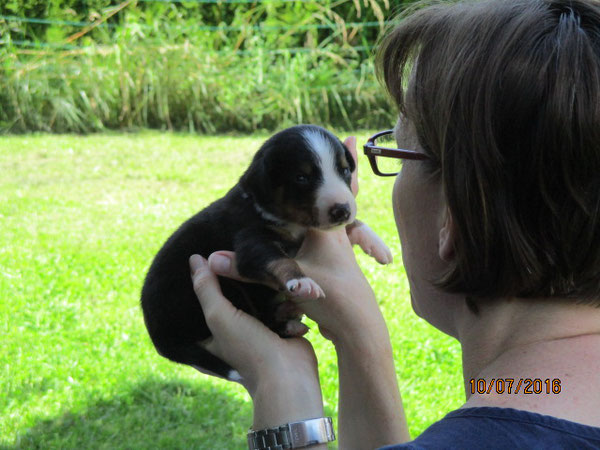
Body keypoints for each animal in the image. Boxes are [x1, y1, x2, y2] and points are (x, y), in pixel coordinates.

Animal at [141, 125, 394, 382]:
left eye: (344, 170)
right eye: (301, 178)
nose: (342, 210)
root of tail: (161, 341)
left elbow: (352, 226)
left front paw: (377, 244)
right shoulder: (251, 240)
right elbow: (278, 260)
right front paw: (301, 281)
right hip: (228, 291)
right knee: (266, 320)